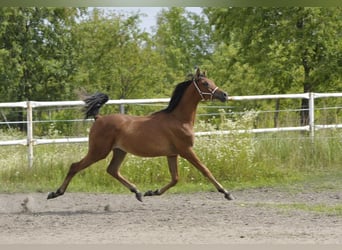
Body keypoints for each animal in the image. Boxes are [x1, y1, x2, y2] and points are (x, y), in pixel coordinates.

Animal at [47, 68, 235, 201]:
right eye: (205, 83)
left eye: (212, 81)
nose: (224, 95)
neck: (178, 119)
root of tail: (98, 118)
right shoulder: (186, 150)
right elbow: (205, 170)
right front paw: (226, 192)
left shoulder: (172, 154)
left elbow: (175, 178)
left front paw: (152, 192)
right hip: (98, 151)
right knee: (75, 166)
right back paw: (55, 193)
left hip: (119, 151)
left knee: (112, 170)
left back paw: (137, 192)